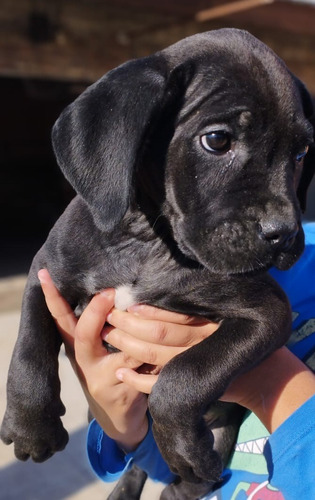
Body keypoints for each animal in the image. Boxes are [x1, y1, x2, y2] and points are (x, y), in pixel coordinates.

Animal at [0, 28, 315, 500]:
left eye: (301, 154)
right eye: (217, 140)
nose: (286, 233)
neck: (148, 241)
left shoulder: (267, 312)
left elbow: (185, 375)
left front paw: (182, 444)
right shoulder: (46, 274)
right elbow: (28, 348)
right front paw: (30, 427)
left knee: (182, 472)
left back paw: (187, 472)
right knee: (138, 461)